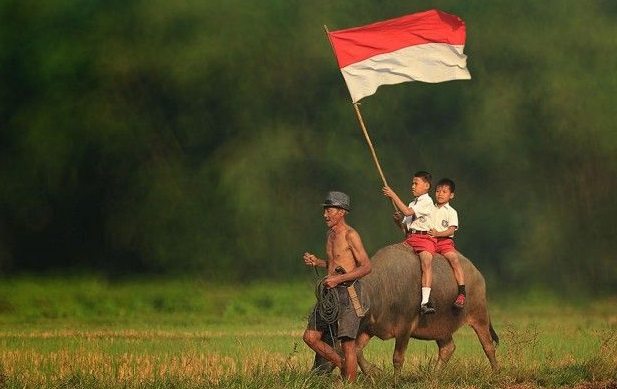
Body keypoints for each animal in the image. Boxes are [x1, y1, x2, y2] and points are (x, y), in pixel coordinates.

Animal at [316, 242, 498, 378]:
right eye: (324, 337)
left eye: (330, 340)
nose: (316, 371)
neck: (381, 290)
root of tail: (477, 274)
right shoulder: (371, 327)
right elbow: (357, 350)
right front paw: (374, 372)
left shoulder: (405, 327)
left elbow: (397, 357)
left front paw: (395, 380)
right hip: (441, 327)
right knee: (448, 347)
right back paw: (434, 374)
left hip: (480, 315)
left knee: (488, 345)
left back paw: (496, 372)